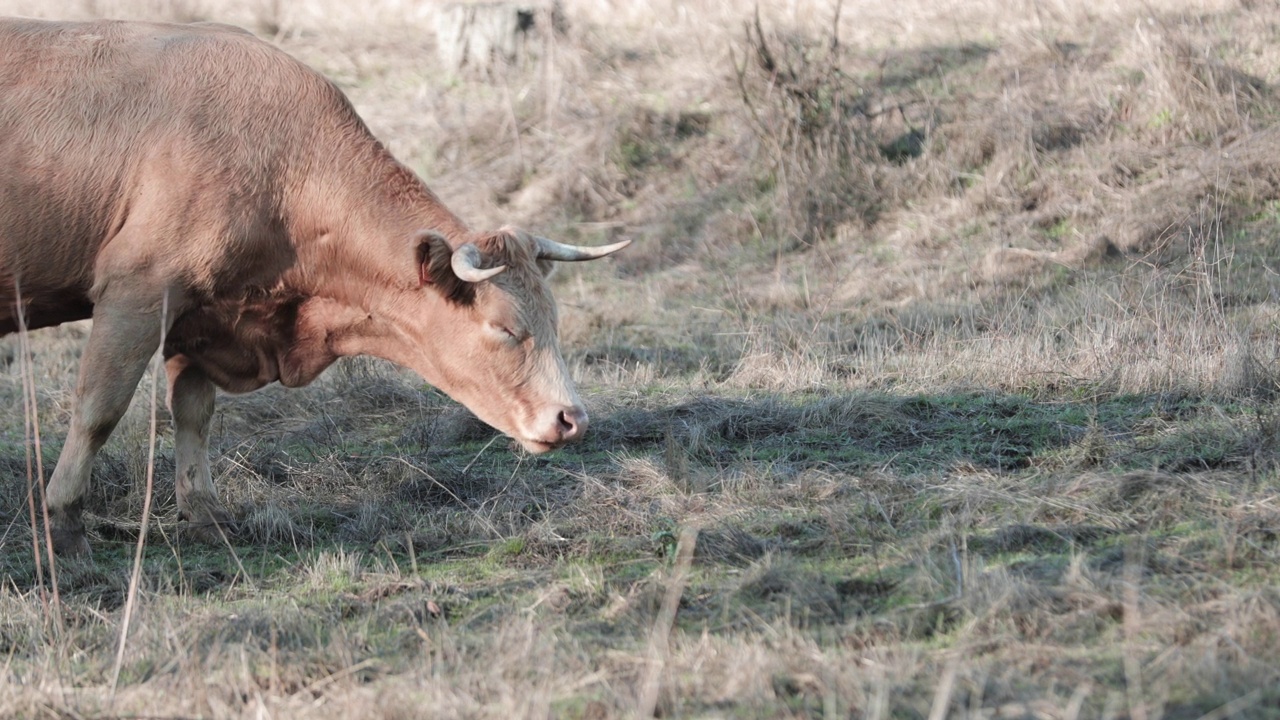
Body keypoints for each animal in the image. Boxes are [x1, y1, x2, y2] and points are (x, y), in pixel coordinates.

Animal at [0, 18, 629, 556]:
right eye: (503, 327)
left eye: (554, 319)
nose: (573, 419)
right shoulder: (138, 288)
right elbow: (98, 410)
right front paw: (64, 524)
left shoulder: (202, 317)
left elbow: (194, 413)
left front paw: (207, 516)